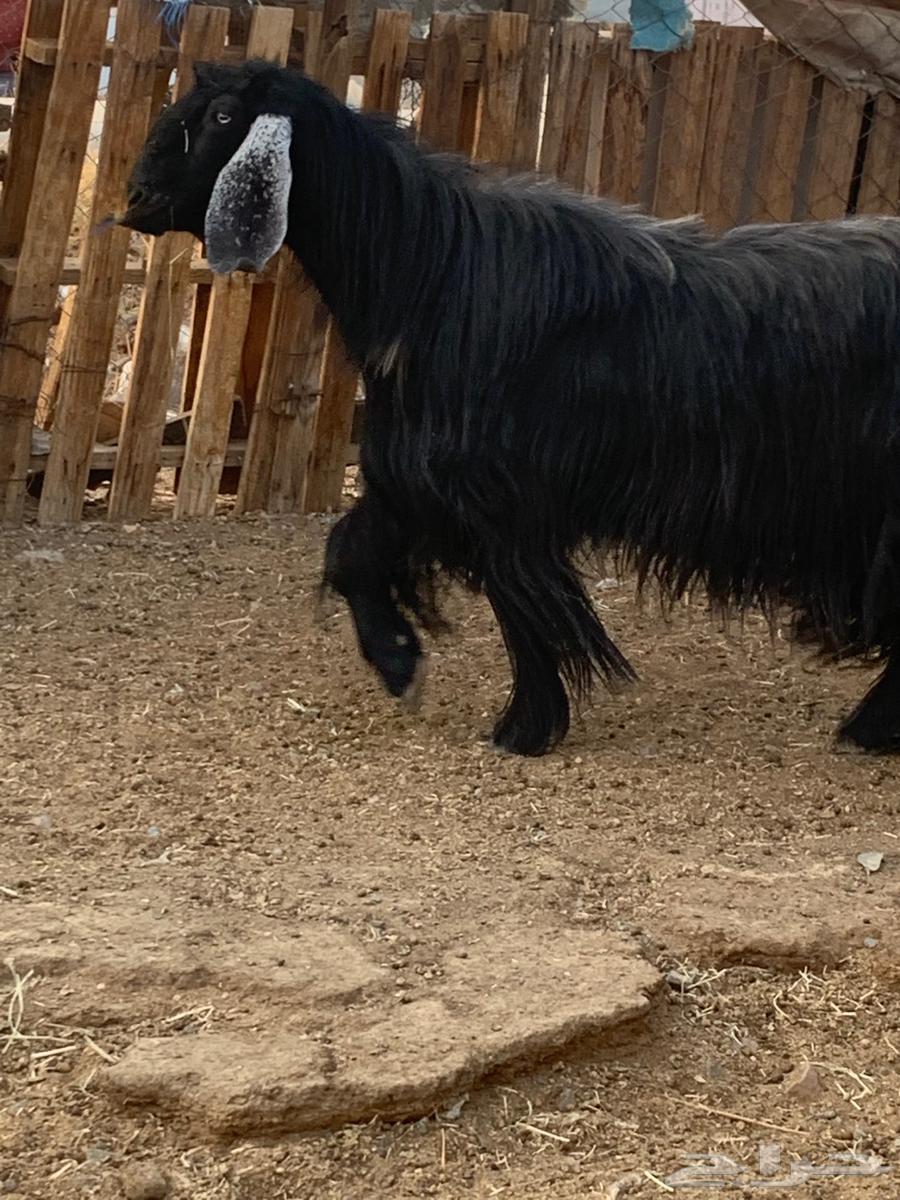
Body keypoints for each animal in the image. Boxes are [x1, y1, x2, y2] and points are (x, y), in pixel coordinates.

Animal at [122, 59, 900, 756]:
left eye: (224, 117)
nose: (137, 195)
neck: (429, 268)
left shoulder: (498, 496)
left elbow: (524, 613)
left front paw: (525, 728)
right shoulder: (415, 481)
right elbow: (349, 552)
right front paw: (401, 664)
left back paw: (868, 729)